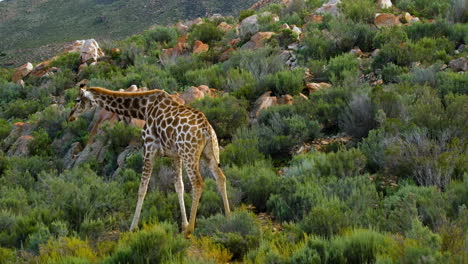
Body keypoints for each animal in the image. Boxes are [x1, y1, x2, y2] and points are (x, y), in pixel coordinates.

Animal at [68, 85, 231, 236]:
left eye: (77, 100)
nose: (70, 116)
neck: (143, 108)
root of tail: (206, 129)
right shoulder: (175, 155)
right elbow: (179, 186)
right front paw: (183, 225)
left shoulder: (148, 148)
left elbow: (142, 188)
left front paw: (132, 227)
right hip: (209, 153)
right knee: (220, 177)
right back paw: (228, 216)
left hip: (189, 153)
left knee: (198, 183)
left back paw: (190, 230)